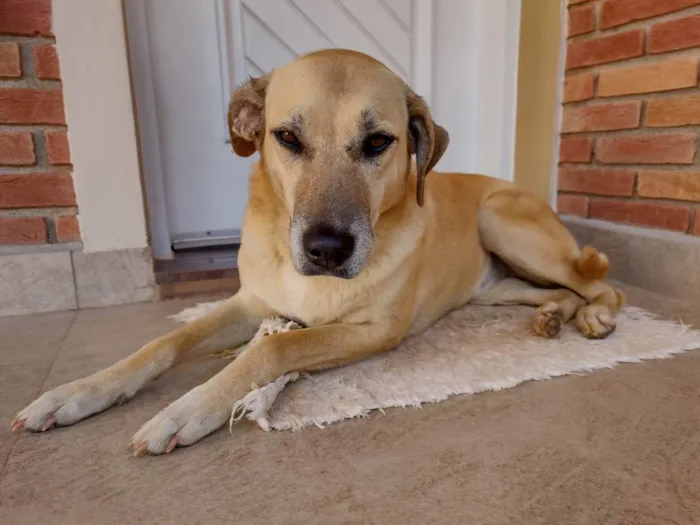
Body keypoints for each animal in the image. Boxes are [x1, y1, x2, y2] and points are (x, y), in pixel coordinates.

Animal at [9, 51, 624, 456]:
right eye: (286, 137)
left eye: (378, 142)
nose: (327, 249)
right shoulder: (252, 302)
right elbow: (166, 342)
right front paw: (76, 393)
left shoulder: (372, 330)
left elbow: (271, 349)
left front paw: (188, 407)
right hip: (497, 286)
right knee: (556, 292)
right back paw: (553, 315)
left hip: (500, 220)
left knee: (601, 285)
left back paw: (595, 317)